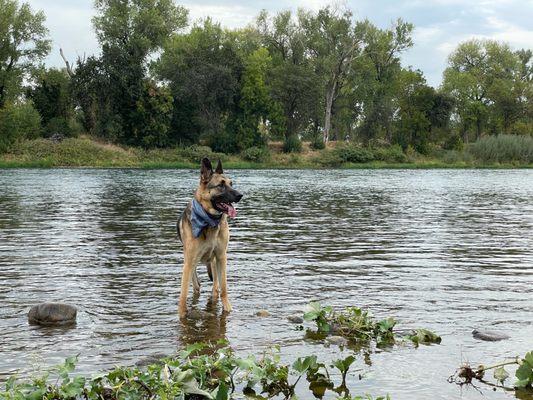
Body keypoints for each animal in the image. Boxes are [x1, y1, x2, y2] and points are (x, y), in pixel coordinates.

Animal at [176, 158, 242, 318]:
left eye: (231, 184)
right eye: (221, 185)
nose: (240, 195)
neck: (209, 221)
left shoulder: (221, 256)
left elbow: (223, 287)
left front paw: (227, 308)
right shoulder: (189, 261)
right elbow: (183, 292)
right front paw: (182, 314)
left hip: (214, 261)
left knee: (216, 286)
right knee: (195, 283)